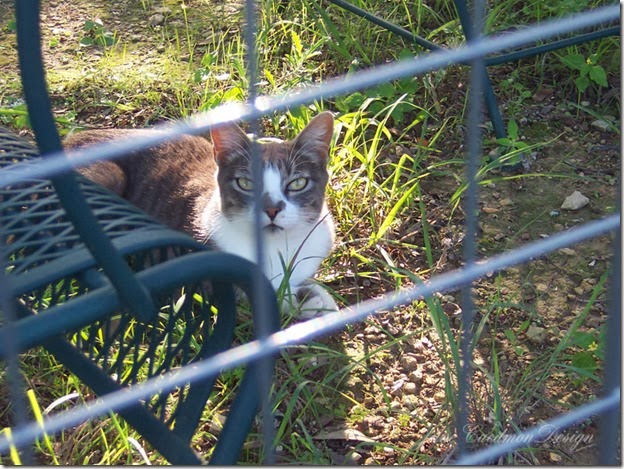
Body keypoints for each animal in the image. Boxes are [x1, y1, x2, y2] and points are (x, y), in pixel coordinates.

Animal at [64, 112, 338, 318]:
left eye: (298, 183)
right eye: (245, 183)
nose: (272, 209)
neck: (275, 246)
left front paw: (316, 297)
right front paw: (310, 300)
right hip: (109, 175)